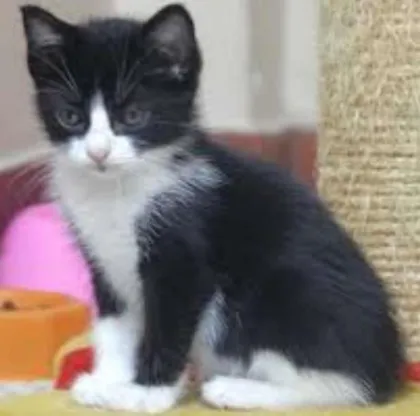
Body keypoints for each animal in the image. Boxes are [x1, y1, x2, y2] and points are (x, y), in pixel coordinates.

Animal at [20, 3, 403, 414]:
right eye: (70, 117)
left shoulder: (183, 253)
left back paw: (238, 390)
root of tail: (388, 364)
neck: (117, 191)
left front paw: (148, 393)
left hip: (281, 292)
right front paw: (108, 381)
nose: (98, 152)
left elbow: (169, 325)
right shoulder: (102, 257)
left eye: (134, 116)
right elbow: (114, 322)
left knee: (340, 384)